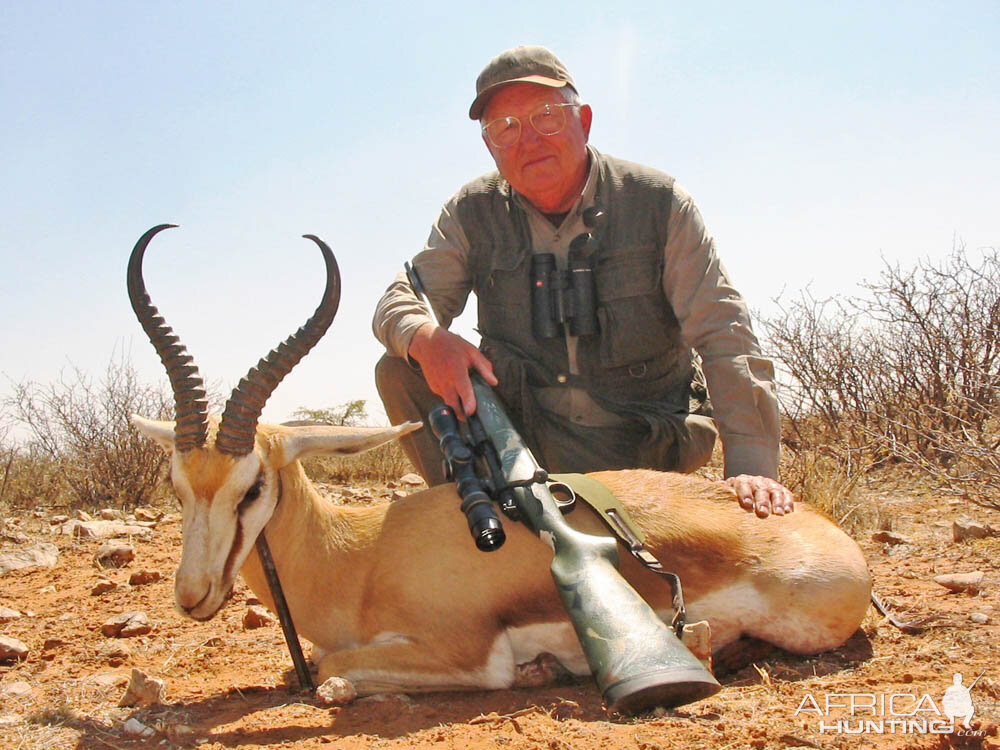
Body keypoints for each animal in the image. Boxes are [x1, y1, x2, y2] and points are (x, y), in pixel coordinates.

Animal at [129, 226, 872, 704]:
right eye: (178, 485)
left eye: (252, 486)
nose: (192, 595)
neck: (360, 558)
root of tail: (828, 533)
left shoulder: (466, 655)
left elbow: (334, 675)